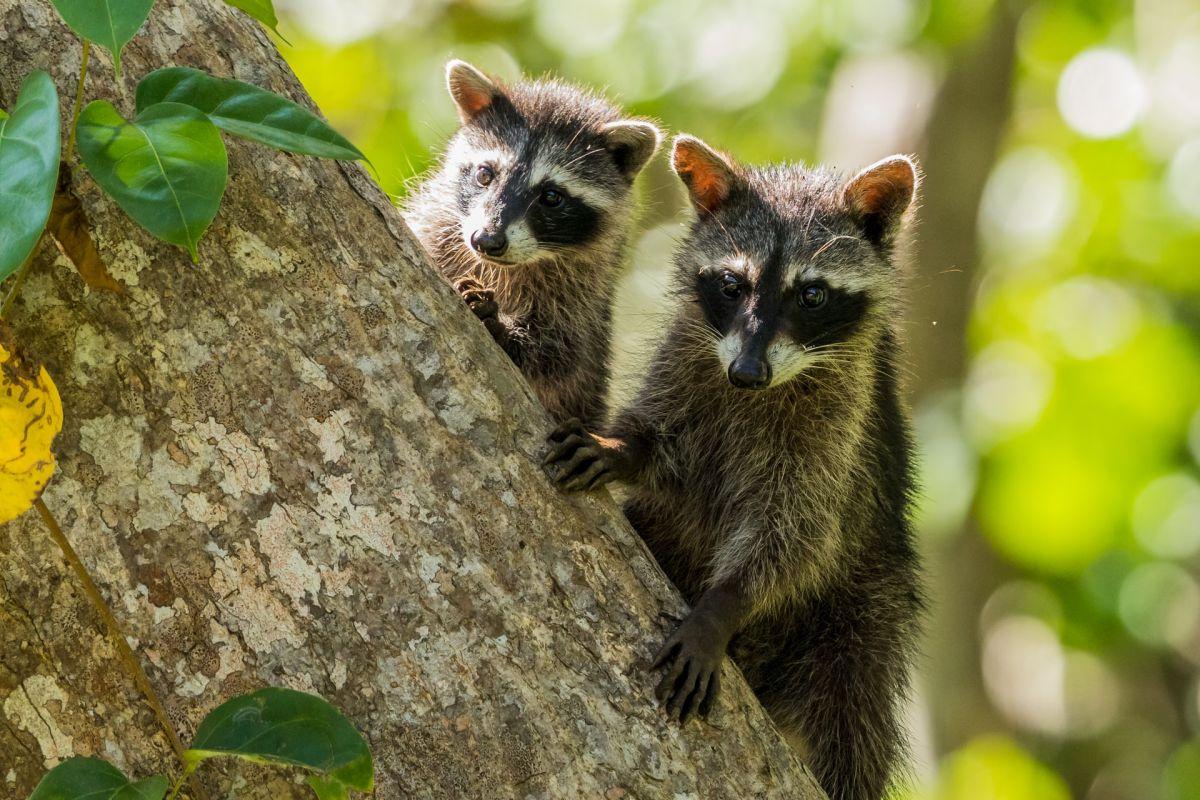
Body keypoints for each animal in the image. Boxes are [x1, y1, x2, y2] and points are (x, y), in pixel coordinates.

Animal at [408, 61, 662, 424]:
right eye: (485, 174)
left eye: (552, 196)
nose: (487, 240)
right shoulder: (439, 228)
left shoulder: (583, 294)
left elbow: (562, 356)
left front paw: (503, 328)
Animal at [544, 136, 926, 800]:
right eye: (731, 283)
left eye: (812, 294)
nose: (747, 374)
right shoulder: (689, 357)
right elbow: (663, 439)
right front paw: (621, 447)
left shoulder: (839, 429)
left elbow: (797, 532)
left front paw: (724, 603)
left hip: (864, 612)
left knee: (853, 716)